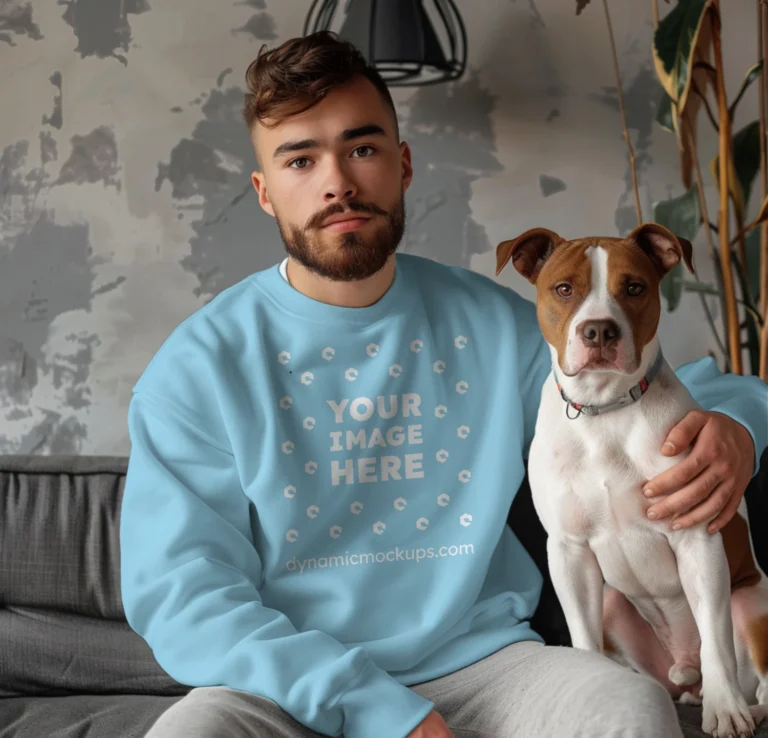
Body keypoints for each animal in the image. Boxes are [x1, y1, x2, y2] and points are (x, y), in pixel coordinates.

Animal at [496, 221, 768, 732]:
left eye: (635, 288)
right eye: (564, 289)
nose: (599, 329)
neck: (605, 410)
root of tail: (684, 672)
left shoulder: (696, 537)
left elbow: (716, 638)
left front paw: (725, 712)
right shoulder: (568, 551)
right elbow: (582, 639)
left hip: (752, 604)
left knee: (753, 675)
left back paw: (742, 705)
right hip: (612, 604)